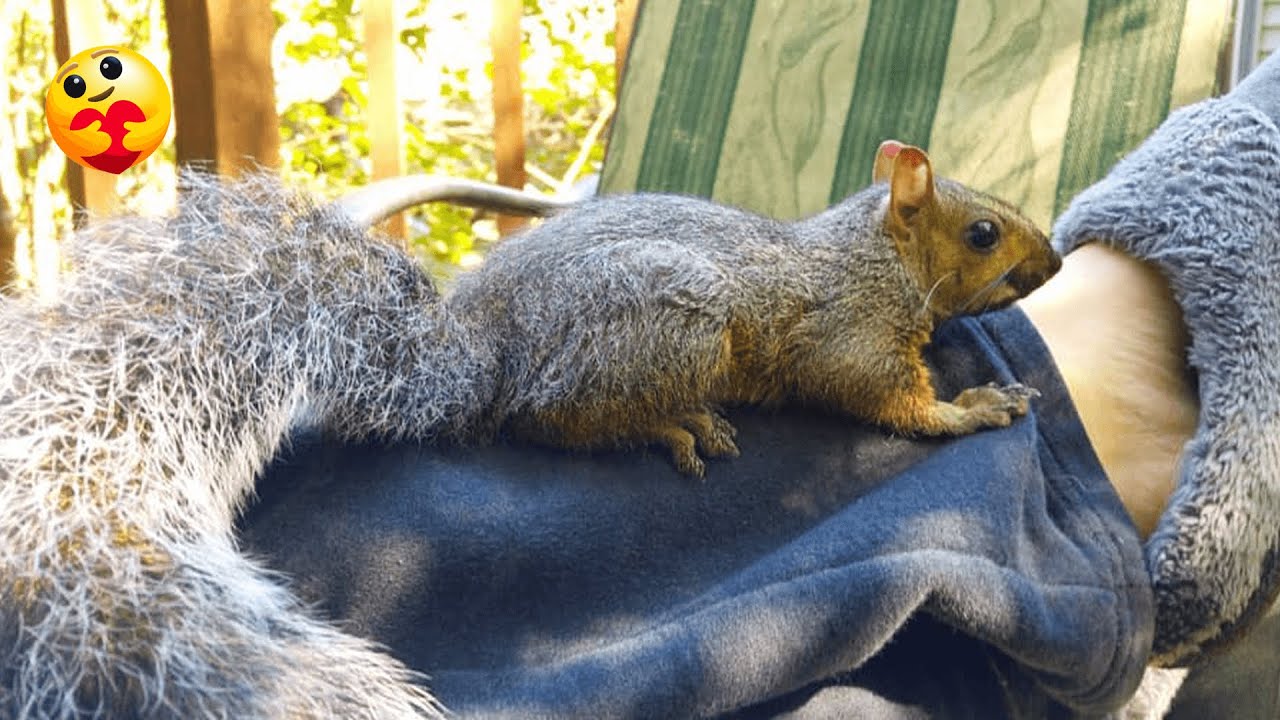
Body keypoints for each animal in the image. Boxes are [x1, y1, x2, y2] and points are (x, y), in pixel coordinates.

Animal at [448, 140, 1062, 476]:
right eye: (983, 234)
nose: (1055, 262)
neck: (877, 257)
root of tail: (490, 334)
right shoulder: (852, 331)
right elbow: (885, 397)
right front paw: (974, 407)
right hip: (670, 325)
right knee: (552, 421)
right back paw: (672, 422)